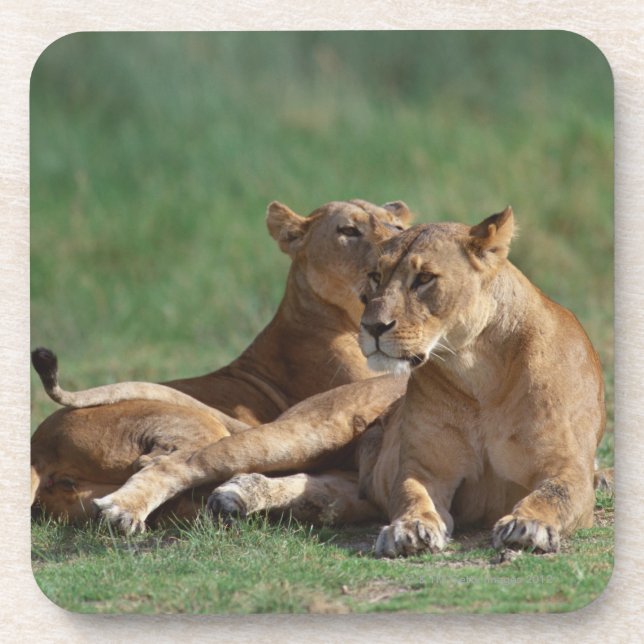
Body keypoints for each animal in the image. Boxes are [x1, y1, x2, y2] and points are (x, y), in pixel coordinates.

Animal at [64, 208, 605, 558]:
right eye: (375, 277)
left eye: (424, 279)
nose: (372, 326)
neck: (477, 372)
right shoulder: (426, 469)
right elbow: (414, 496)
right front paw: (410, 531)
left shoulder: (569, 468)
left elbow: (553, 494)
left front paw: (528, 523)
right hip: (306, 431)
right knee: (185, 462)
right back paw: (124, 509)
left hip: (348, 480)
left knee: (317, 489)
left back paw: (239, 495)